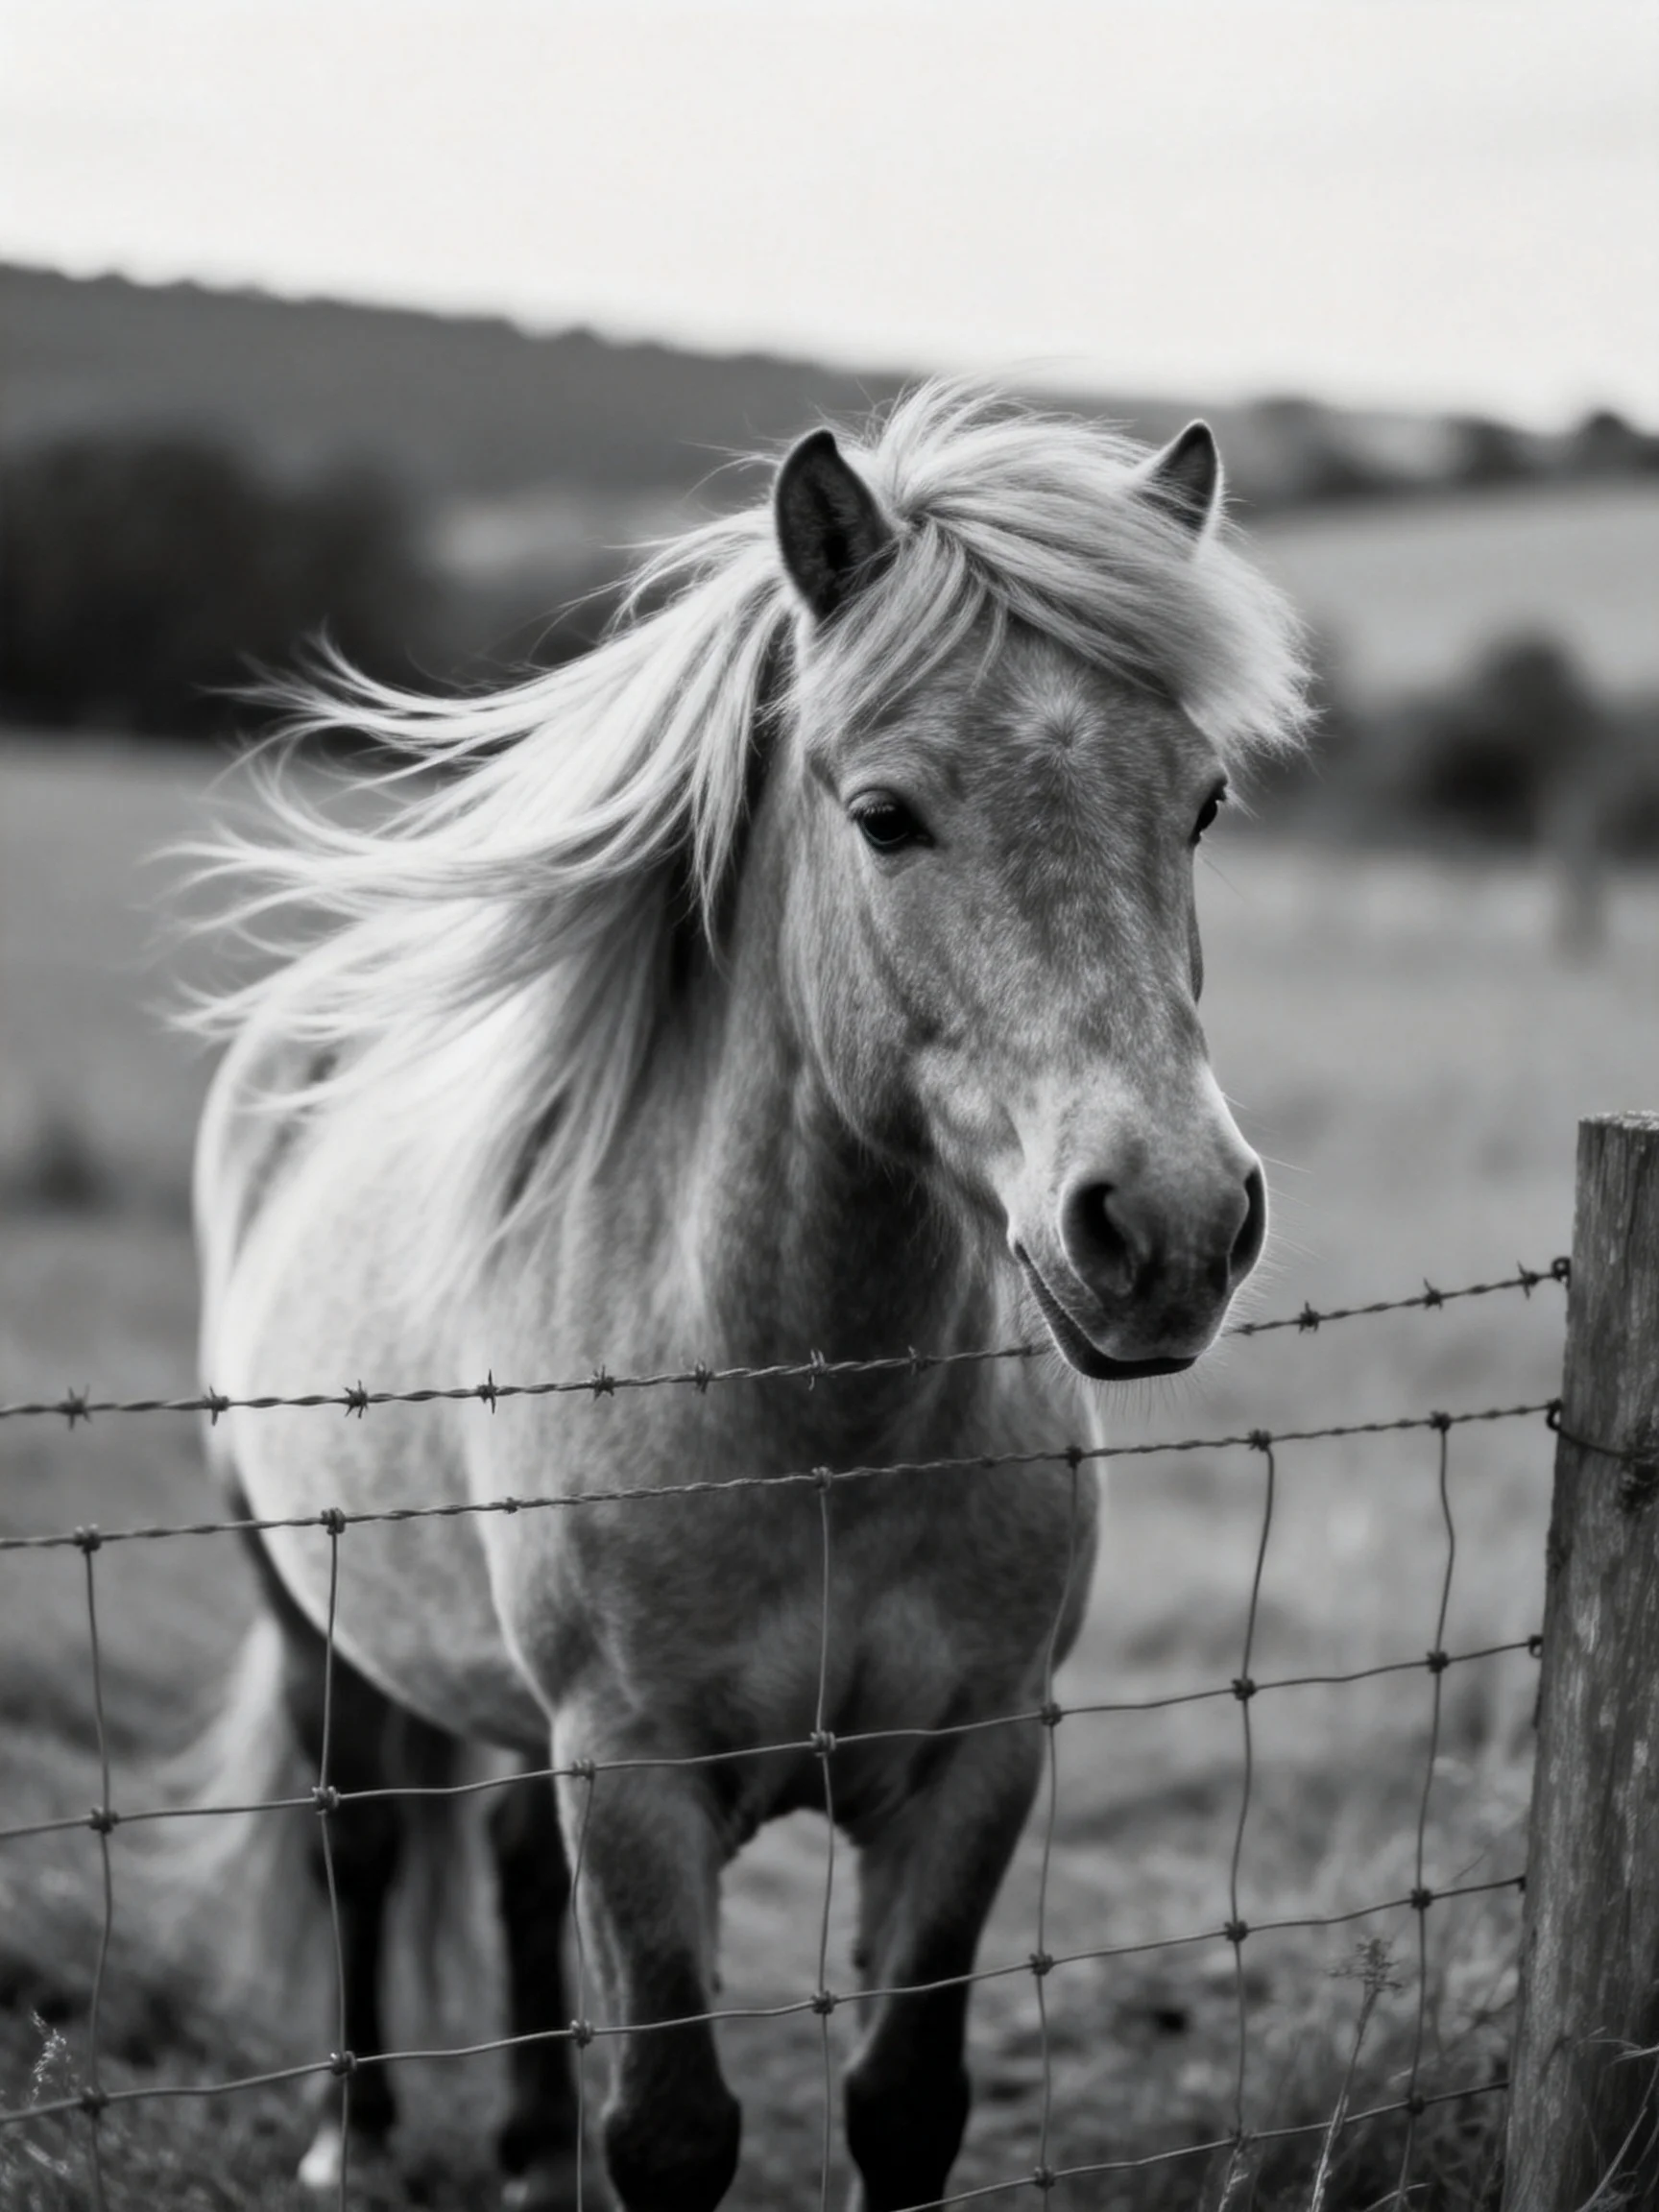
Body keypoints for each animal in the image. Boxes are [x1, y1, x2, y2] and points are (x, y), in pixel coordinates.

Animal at [180, 383, 1308, 2210]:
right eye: (884, 815)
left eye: (1200, 803)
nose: (1170, 1222)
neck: (812, 1416)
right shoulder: (632, 1782)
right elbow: (670, 2125)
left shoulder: (976, 1761)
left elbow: (903, 2100)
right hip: (302, 1604)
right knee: (361, 1834)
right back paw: (356, 2135)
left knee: (506, 1856)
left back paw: (518, 2141)